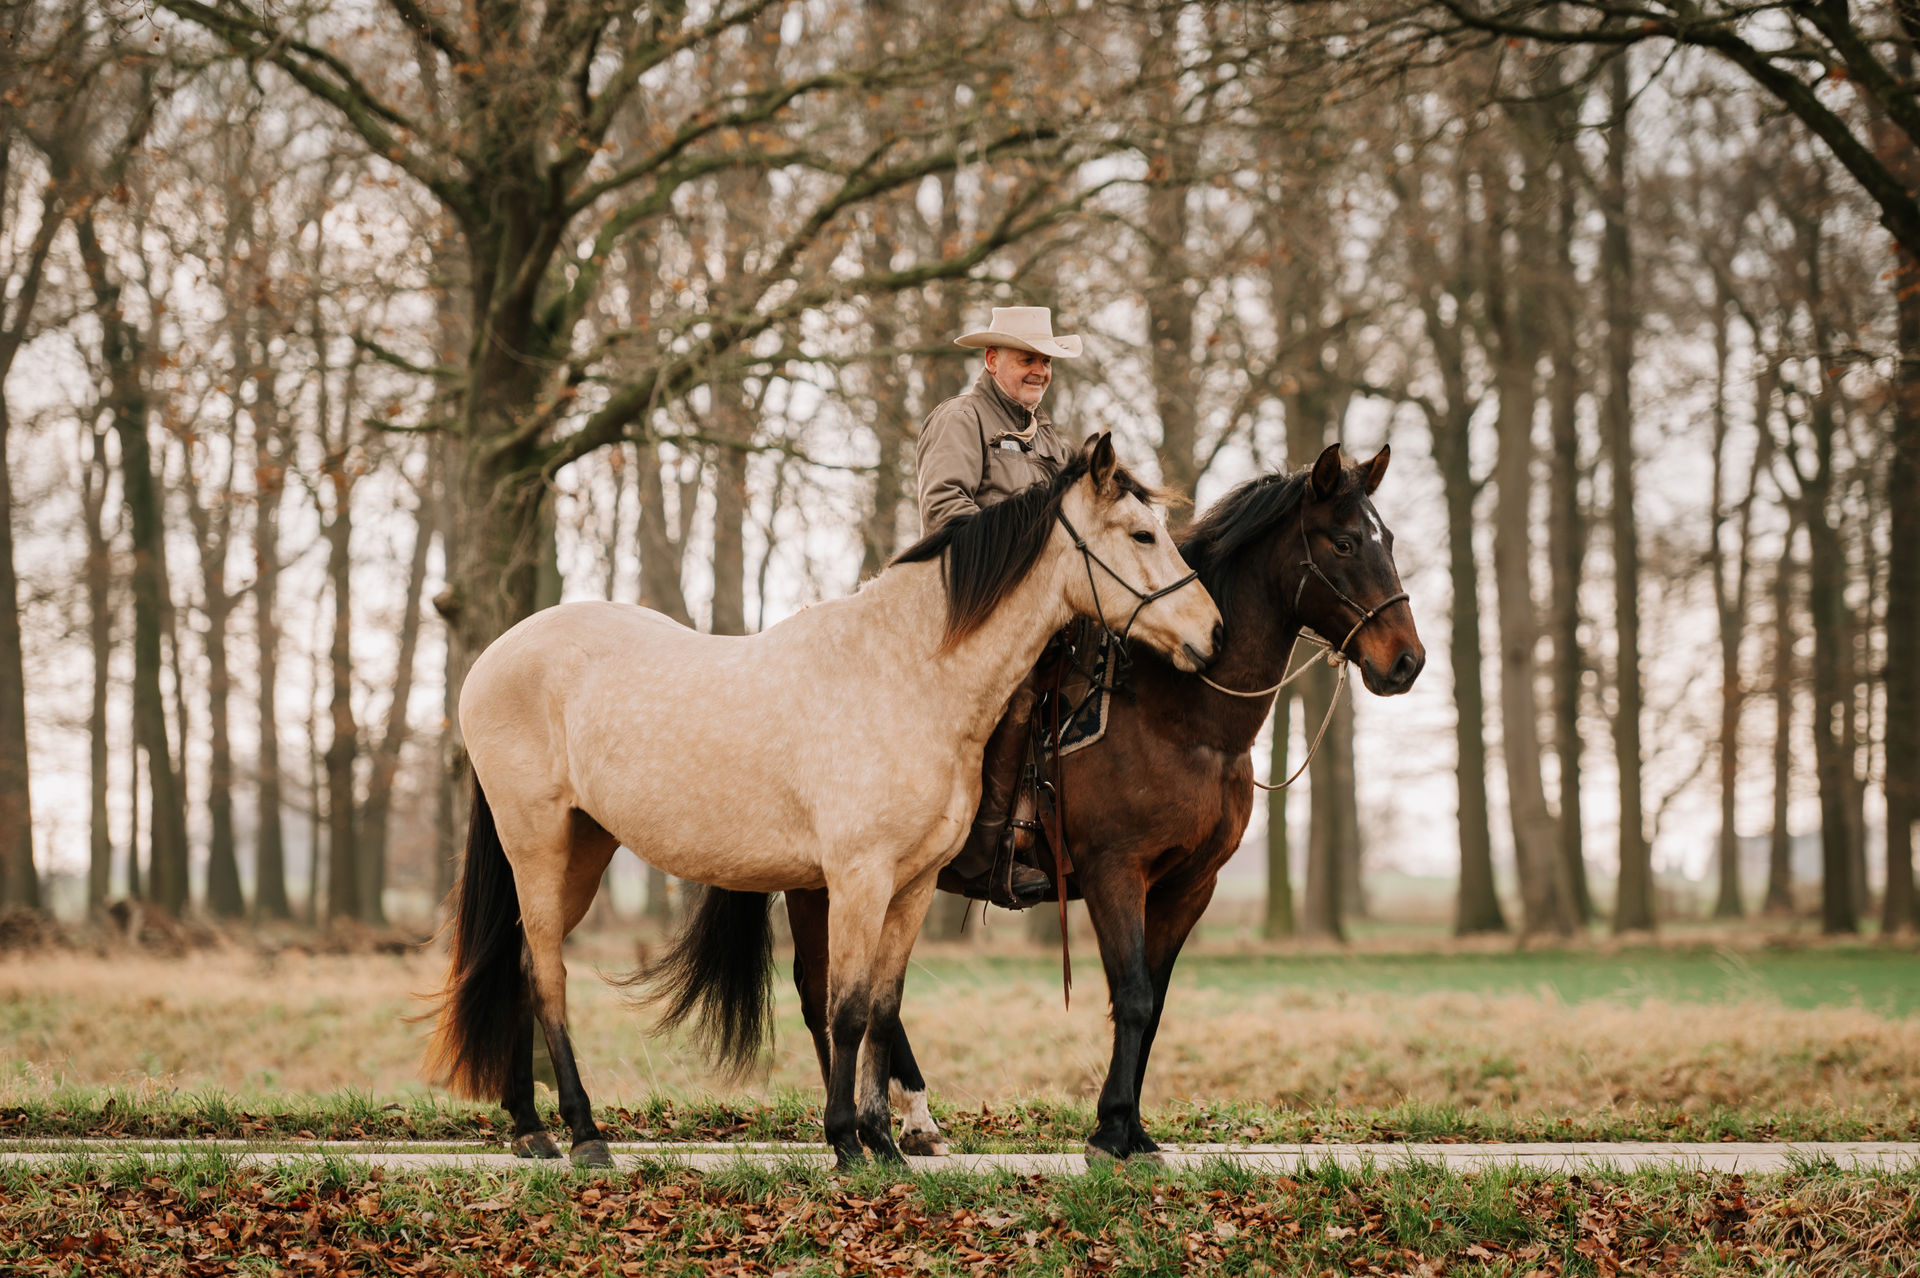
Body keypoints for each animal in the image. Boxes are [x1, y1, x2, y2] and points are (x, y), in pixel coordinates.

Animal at [424, 434, 1223, 1168]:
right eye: (1142, 534)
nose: (1210, 634)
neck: (907, 672)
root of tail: (494, 657)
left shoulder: (913, 885)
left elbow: (883, 1010)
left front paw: (886, 1143)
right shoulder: (858, 879)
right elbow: (846, 1009)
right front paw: (846, 1141)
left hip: (585, 849)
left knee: (520, 967)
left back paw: (530, 1129)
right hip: (538, 843)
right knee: (547, 976)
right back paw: (585, 1134)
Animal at [785, 442, 1425, 1161]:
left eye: (1387, 540)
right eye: (1344, 542)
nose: (1407, 662)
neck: (1180, 715)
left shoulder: (1187, 886)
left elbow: (1153, 1002)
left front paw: (1133, 1130)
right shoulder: (1114, 870)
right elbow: (1135, 994)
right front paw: (1111, 1129)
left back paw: (907, 1123)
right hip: (824, 883)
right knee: (823, 993)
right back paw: (859, 1129)